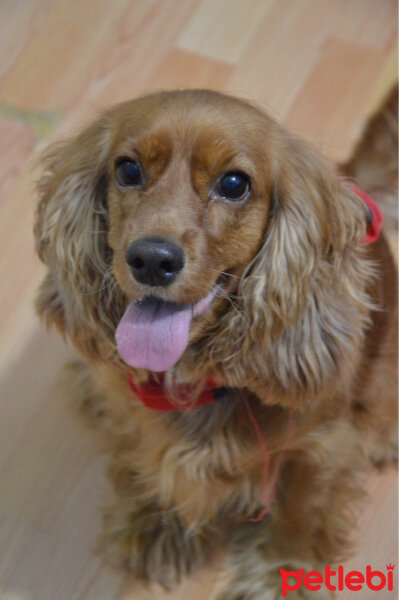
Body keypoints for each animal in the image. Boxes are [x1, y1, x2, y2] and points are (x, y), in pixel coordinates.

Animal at [34, 89, 396, 600]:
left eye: (234, 184)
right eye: (128, 170)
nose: (151, 259)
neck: (195, 380)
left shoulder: (324, 444)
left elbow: (302, 508)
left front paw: (282, 571)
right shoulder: (136, 415)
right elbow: (147, 455)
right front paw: (157, 521)